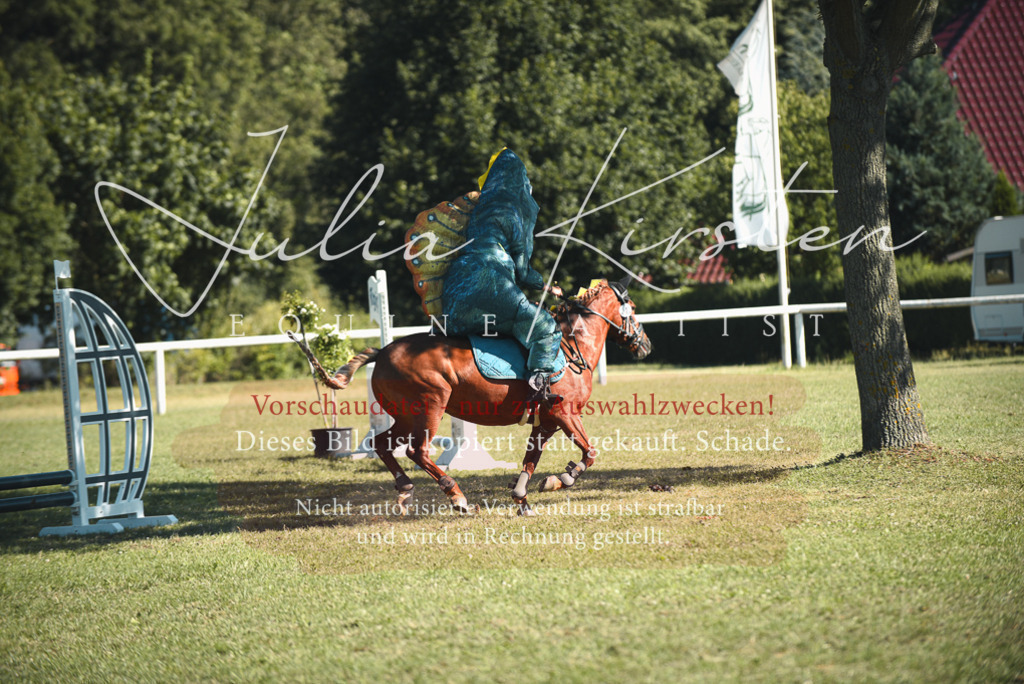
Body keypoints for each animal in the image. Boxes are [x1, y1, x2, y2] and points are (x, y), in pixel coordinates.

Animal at [299, 277, 652, 515]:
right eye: (633, 310)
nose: (646, 345)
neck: (571, 345)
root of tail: (384, 351)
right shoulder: (565, 414)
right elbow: (589, 453)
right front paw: (564, 477)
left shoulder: (546, 421)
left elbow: (531, 460)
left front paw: (524, 497)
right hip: (430, 407)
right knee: (417, 451)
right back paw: (456, 496)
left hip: (406, 415)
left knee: (382, 443)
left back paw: (405, 489)